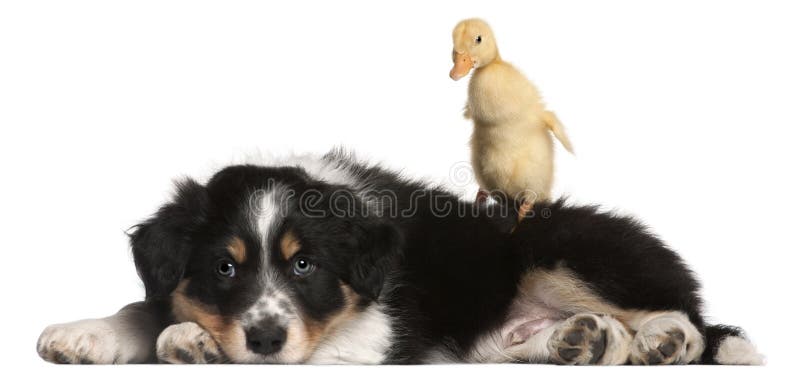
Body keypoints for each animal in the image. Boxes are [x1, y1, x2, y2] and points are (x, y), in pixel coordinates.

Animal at [36, 152, 764, 364]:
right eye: (225, 267)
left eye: (305, 266)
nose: (265, 340)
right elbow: (144, 303)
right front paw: (84, 335)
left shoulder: (377, 331)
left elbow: (321, 345)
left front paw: (190, 340)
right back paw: (581, 341)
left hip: (557, 252)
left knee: (693, 318)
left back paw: (661, 340)